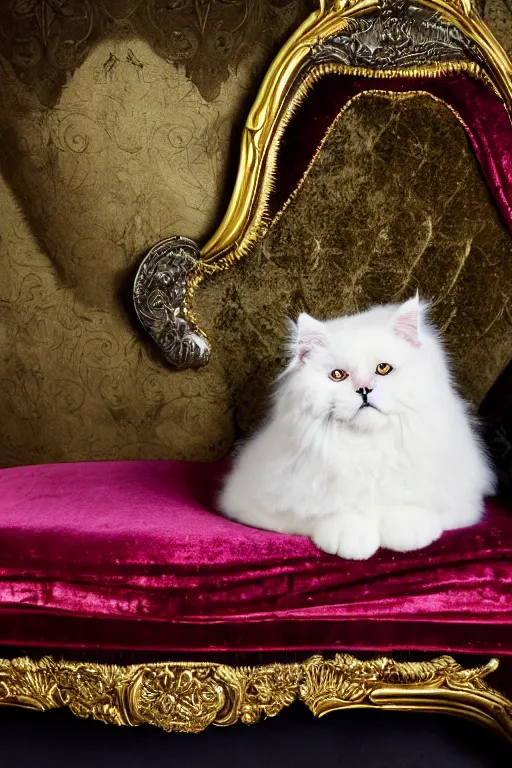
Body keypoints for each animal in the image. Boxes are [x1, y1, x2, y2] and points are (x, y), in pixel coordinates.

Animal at [217, 296, 496, 560]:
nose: (364, 389)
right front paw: (353, 540)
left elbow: (409, 505)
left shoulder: (460, 504)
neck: (368, 446)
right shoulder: (257, 506)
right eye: (338, 375)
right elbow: (334, 512)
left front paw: (406, 534)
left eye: (383, 369)